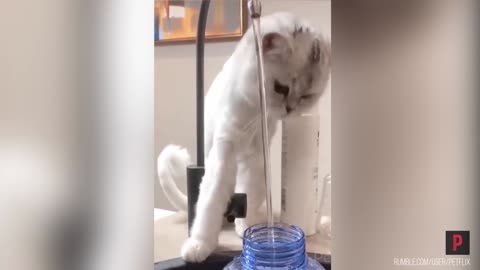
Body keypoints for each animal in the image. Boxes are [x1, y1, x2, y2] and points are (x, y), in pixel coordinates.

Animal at [158, 12, 330, 262]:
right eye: (281, 88)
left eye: (306, 97)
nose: (290, 109)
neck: (255, 113)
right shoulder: (224, 151)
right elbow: (210, 203)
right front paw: (200, 245)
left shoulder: (257, 157)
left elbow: (250, 193)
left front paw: (249, 231)